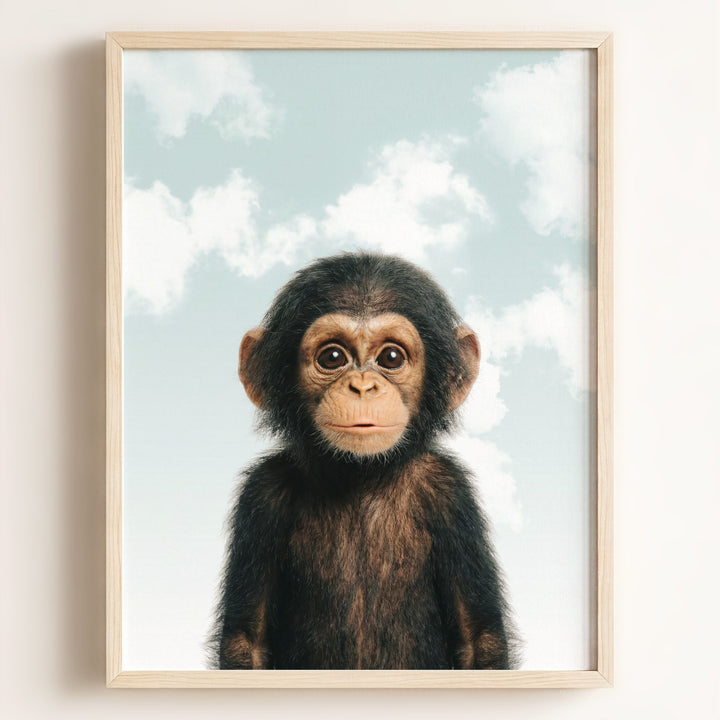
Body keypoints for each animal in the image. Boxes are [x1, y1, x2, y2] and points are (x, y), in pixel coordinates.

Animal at [211, 252, 518, 670]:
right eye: (332, 357)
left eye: (391, 357)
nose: (362, 386)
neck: (360, 476)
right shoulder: (262, 494)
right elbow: (247, 641)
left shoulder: (450, 492)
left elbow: (479, 640)